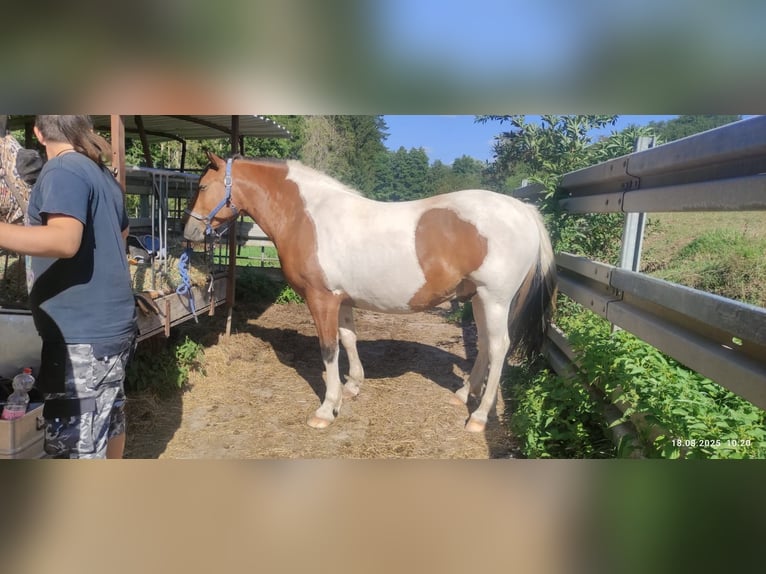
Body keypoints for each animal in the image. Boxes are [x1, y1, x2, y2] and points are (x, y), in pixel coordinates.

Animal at [184, 151, 557, 432]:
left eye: (202, 185)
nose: (189, 231)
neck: (307, 215)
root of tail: (524, 211)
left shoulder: (321, 298)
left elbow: (328, 349)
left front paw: (327, 408)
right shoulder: (342, 299)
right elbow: (349, 339)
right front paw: (352, 386)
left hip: (496, 299)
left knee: (499, 346)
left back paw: (478, 417)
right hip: (478, 297)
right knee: (484, 345)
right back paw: (464, 394)